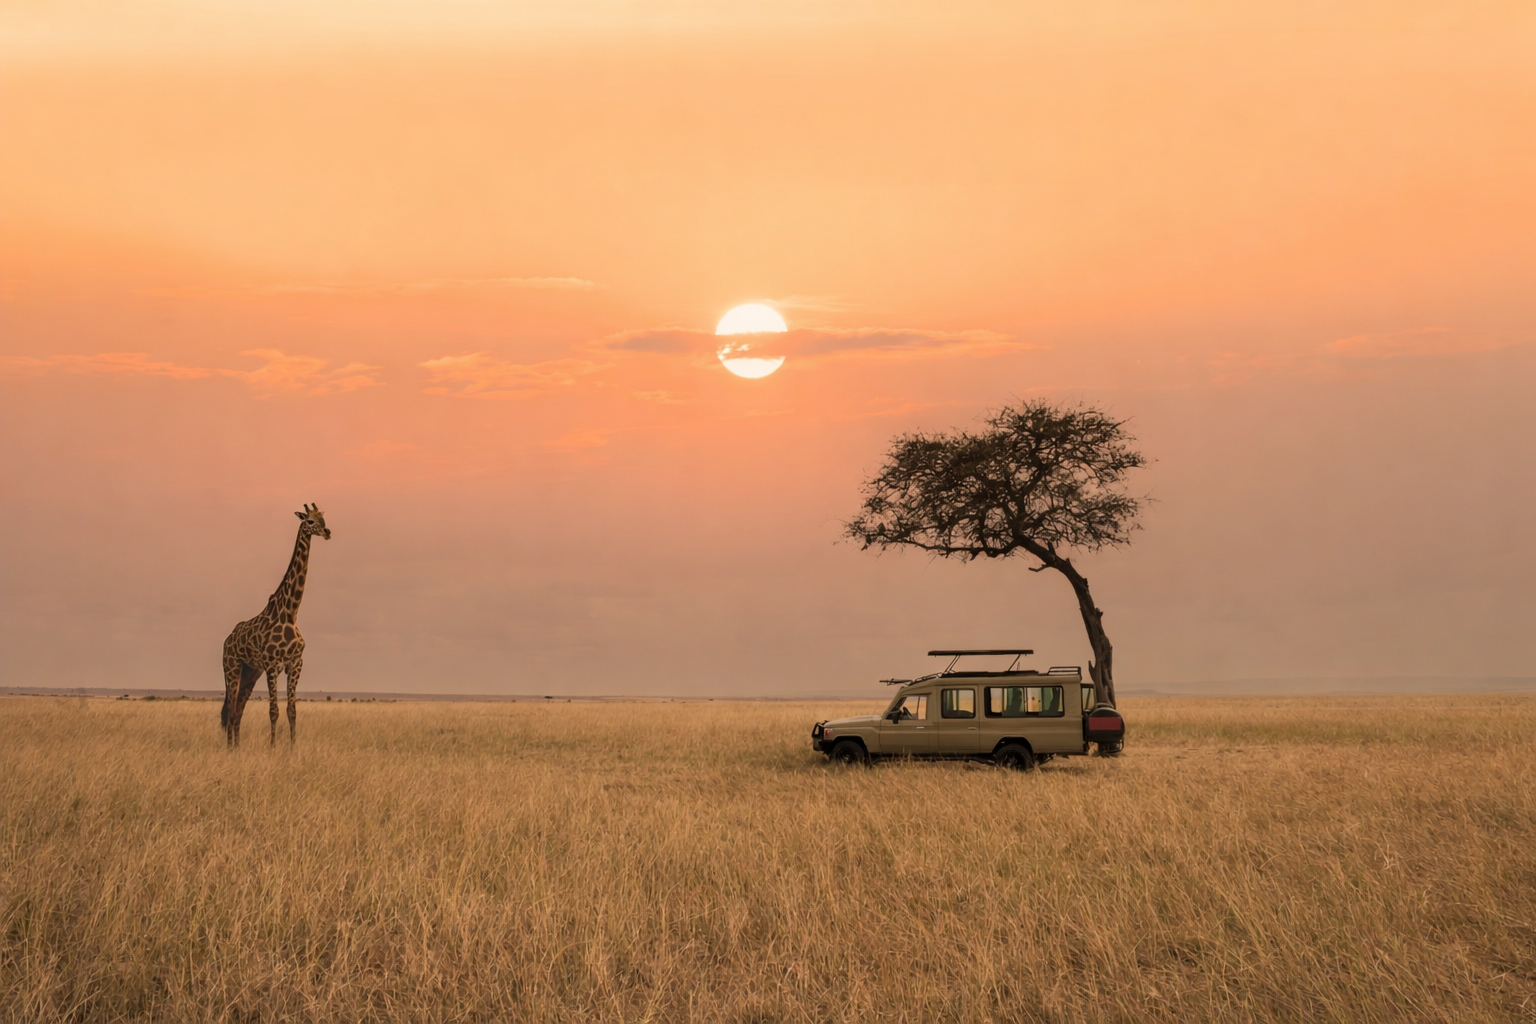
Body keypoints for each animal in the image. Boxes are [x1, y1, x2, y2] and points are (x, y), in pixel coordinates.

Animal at [221, 504, 331, 746]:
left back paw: (237, 748)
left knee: (237, 711)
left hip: (251, 672)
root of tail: (227, 640)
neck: (290, 613)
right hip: (232, 668)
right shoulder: (273, 665)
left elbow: (291, 710)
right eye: (310, 521)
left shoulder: (295, 663)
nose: (327, 532)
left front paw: (292, 747)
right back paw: (229, 749)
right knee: (230, 710)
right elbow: (273, 711)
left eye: (323, 518)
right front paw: (272, 747)